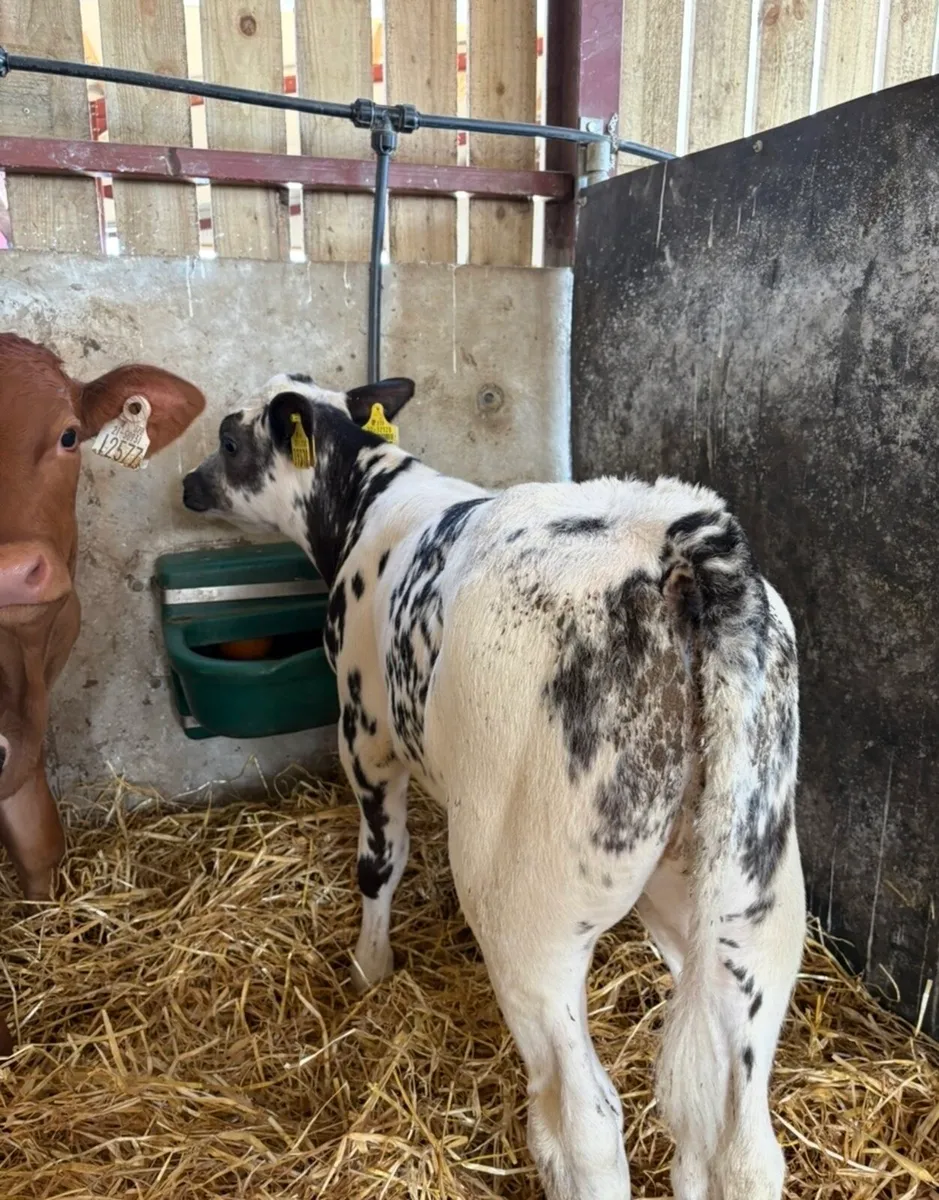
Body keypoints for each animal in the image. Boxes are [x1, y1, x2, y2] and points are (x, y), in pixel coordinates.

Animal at [182, 372, 805, 1200]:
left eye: (227, 439)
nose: (186, 485)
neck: (370, 496)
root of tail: (675, 542)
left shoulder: (365, 732)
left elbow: (379, 864)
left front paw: (369, 969)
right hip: (747, 902)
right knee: (737, 1144)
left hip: (528, 909)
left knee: (587, 1125)